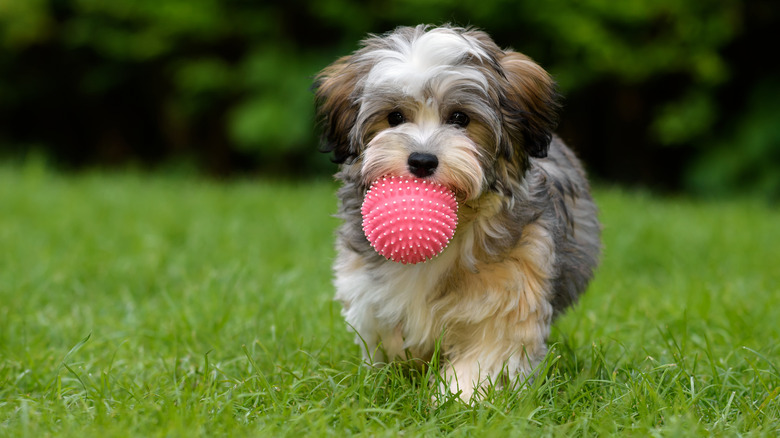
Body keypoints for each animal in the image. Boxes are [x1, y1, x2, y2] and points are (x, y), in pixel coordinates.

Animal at [314, 24, 600, 400]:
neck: (463, 216)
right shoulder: (369, 290)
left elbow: (489, 352)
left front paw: (461, 398)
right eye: (394, 117)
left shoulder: (511, 288)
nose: (422, 160)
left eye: (460, 118)